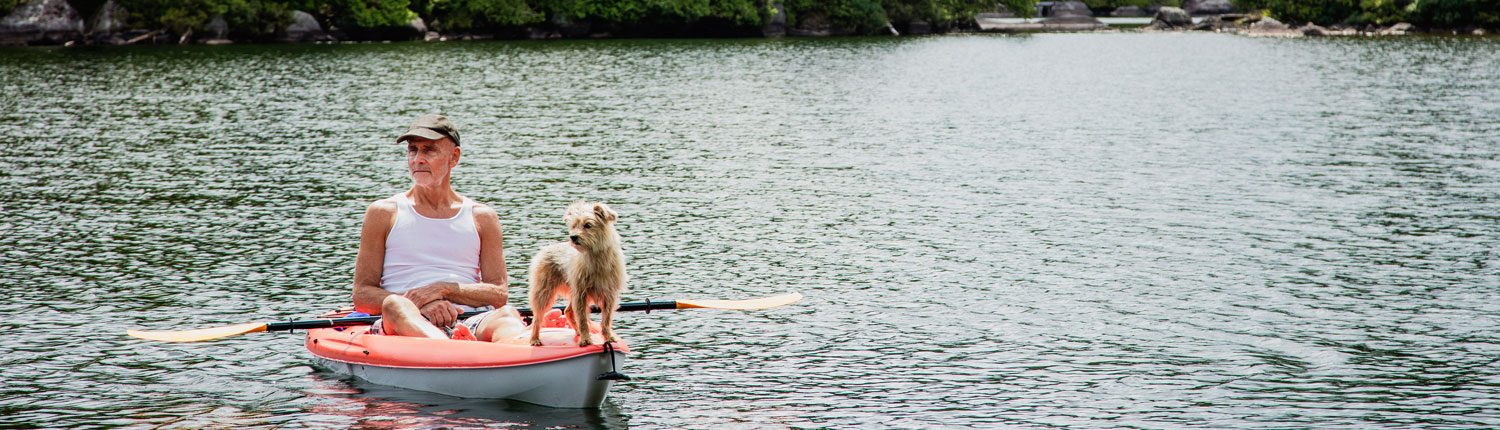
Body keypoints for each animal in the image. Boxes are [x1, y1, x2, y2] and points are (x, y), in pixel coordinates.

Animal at [528, 200, 627, 347]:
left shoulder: (609, 294)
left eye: (588, 225)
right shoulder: (581, 293)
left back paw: (578, 332)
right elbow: (583, 318)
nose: (573, 237)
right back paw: (535, 338)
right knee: (538, 316)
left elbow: (606, 319)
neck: (595, 256)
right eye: (574, 226)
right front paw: (586, 339)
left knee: (569, 311)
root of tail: (546, 248)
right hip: (544, 291)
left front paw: (608, 336)